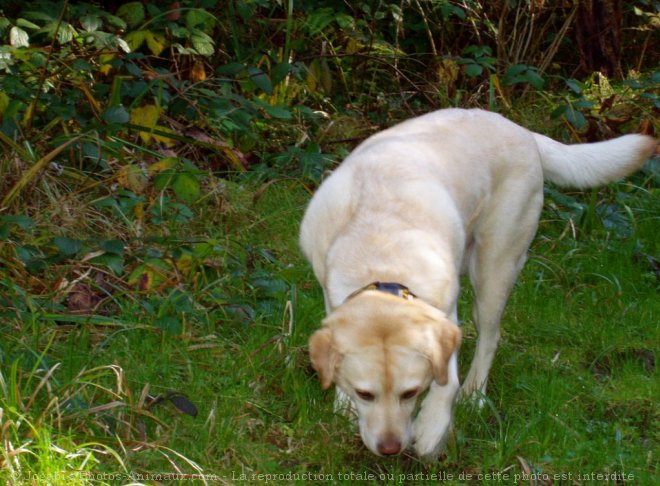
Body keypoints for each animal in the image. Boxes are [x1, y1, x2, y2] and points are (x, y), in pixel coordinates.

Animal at [300, 108, 656, 458]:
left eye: (410, 392)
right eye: (365, 394)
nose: (390, 449)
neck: (382, 253)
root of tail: (522, 131)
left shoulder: (446, 316)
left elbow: (447, 382)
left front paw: (432, 427)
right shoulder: (332, 297)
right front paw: (344, 409)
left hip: (495, 268)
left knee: (490, 337)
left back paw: (474, 395)